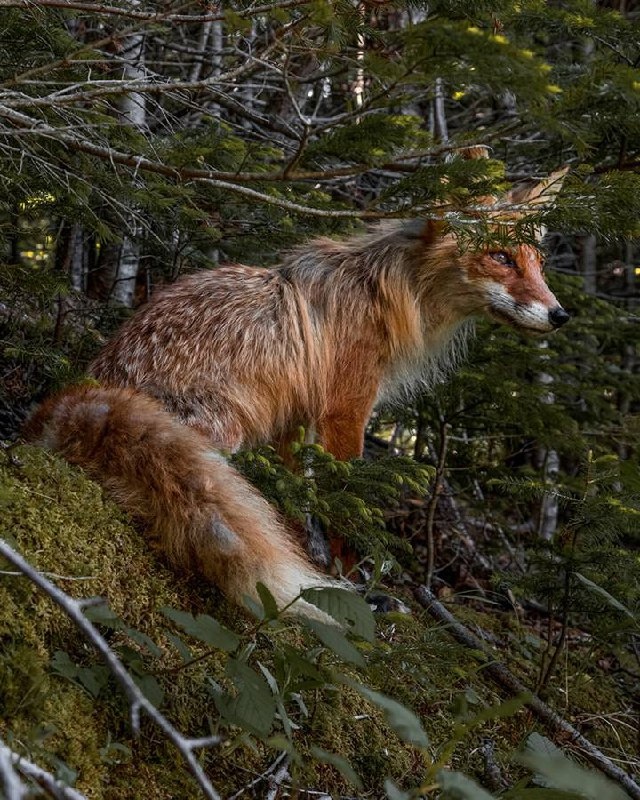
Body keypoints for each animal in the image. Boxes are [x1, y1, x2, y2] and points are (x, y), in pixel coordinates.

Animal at [24, 169, 570, 618]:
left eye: (537, 263)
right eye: (500, 258)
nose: (560, 314)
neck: (383, 295)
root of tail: (79, 391)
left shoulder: (296, 421)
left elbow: (296, 502)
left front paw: (314, 563)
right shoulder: (345, 410)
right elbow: (344, 504)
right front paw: (357, 584)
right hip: (224, 429)